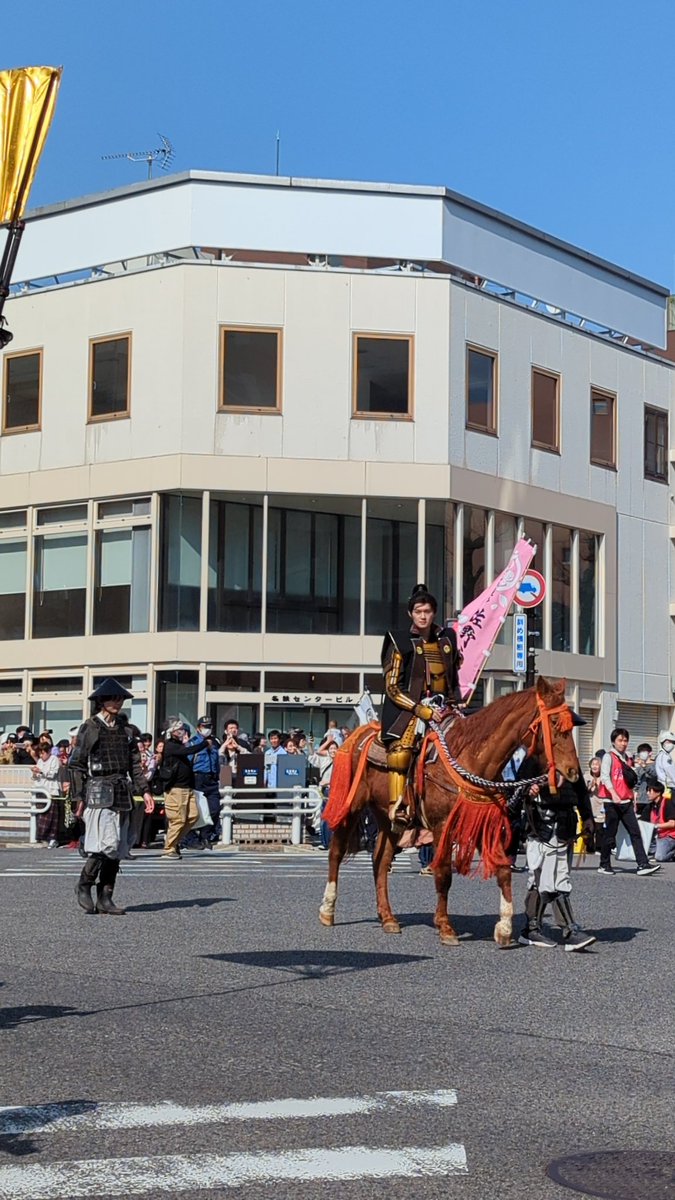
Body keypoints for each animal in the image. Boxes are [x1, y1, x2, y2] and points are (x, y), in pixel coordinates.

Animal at [319, 676, 578, 945]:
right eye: (555, 723)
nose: (572, 771)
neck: (471, 759)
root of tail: (361, 732)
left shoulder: (481, 822)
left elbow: (503, 869)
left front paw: (505, 927)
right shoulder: (441, 826)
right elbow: (443, 873)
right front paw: (445, 926)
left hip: (388, 817)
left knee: (380, 861)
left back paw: (388, 918)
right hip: (351, 805)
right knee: (336, 852)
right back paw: (328, 910)